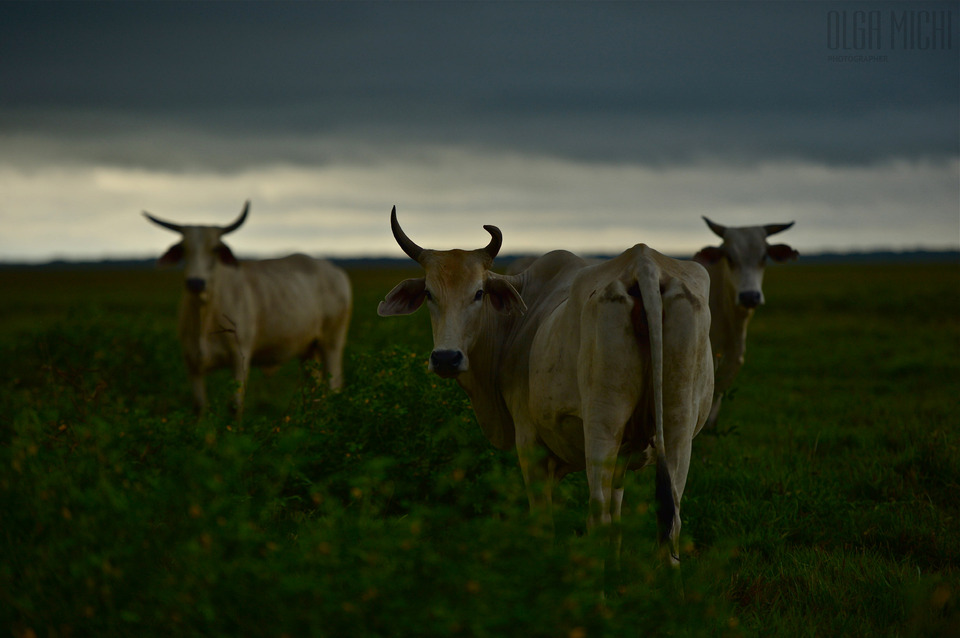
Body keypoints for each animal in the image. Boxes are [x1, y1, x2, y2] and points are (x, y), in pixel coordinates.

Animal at [142, 201, 352, 420]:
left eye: (215, 249)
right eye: (184, 248)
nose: (196, 283)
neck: (205, 314)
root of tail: (335, 271)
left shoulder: (239, 358)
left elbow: (235, 406)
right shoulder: (192, 364)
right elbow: (199, 407)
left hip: (332, 344)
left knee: (334, 386)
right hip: (309, 350)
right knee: (314, 392)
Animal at [376, 208, 712, 564]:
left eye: (479, 293)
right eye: (429, 293)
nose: (445, 358)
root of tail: (643, 265)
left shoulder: (530, 443)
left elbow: (544, 523)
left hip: (602, 427)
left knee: (598, 516)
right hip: (677, 428)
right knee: (670, 521)